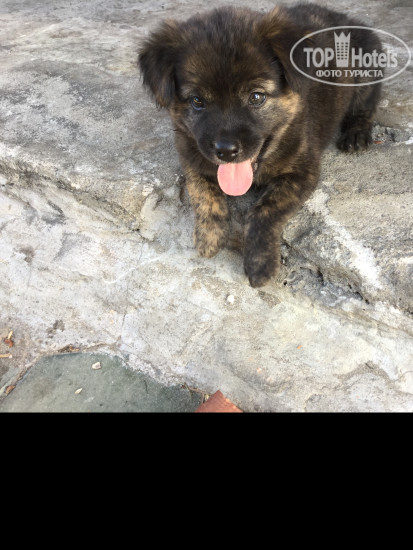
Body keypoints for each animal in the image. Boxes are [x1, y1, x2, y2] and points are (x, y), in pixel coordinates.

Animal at [138, 3, 382, 287]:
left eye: (256, 97)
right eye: (197, 101)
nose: (226, 151)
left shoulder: (303, 171)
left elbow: (265, 210)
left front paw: (260, 262)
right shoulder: (190, 154)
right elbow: (202, 194)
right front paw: (209, 237)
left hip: (366, 72)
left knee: (366, 106)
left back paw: (356, 134)